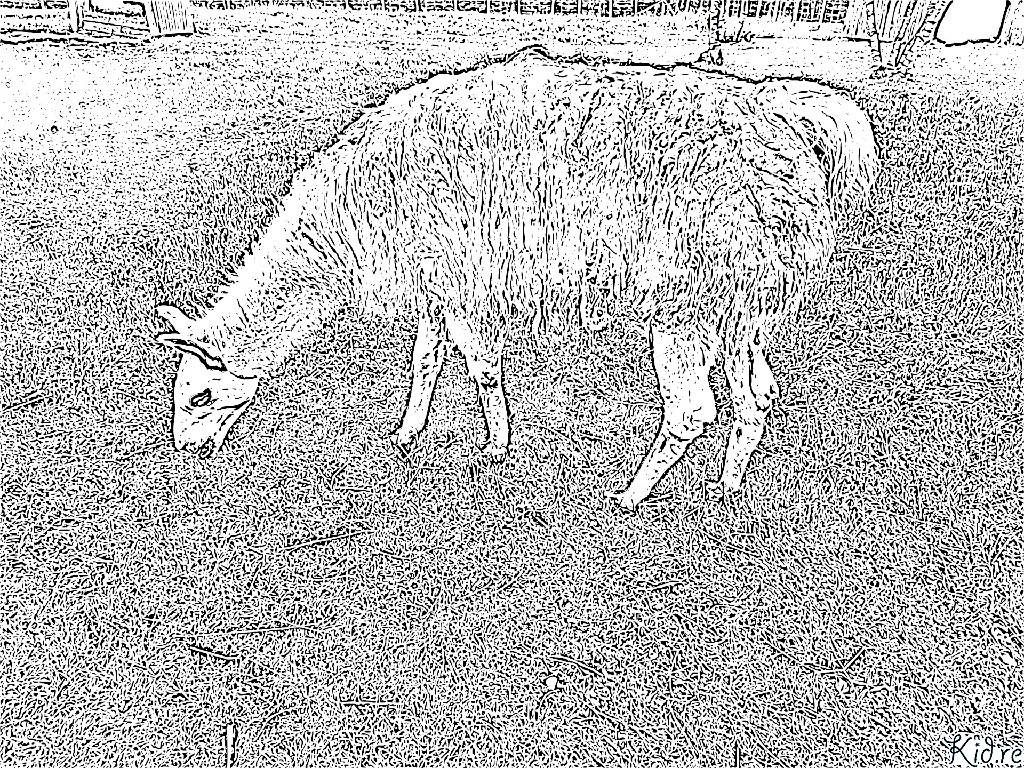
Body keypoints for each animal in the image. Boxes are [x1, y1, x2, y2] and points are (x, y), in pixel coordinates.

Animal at [155, 45, 879, 510]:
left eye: (200, 397)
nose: (187, 450)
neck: (351, 216)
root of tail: (795, 119)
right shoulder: (439, 274)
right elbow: (426, 358)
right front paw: (408, 432)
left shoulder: (460, 272)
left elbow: (477, 364)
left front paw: (498, 447)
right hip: (738, 303)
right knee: (756, 393)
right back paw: (728, 485)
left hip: (688, 298)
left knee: (691, 411)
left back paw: (629, 496)